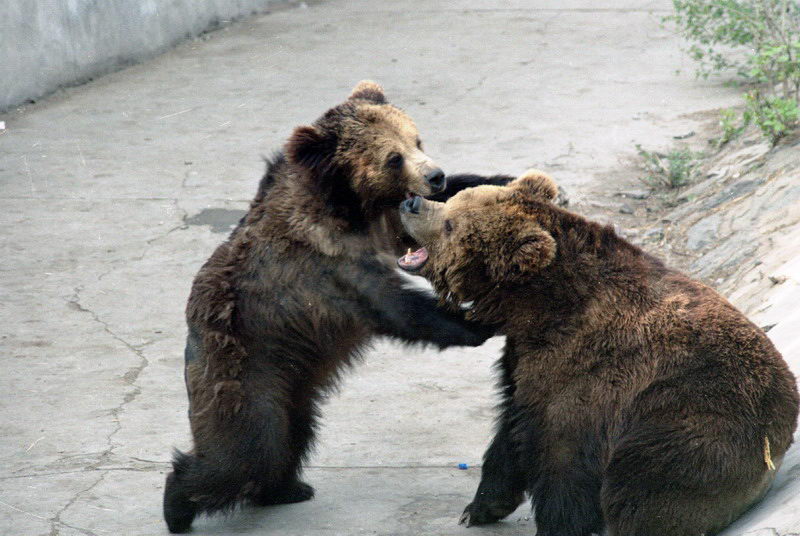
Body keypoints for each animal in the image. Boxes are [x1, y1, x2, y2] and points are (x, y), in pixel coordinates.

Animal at [163, 81, 500, 532]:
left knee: (292, 434)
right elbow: (396, 306)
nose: (434, 175)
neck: (346, 204)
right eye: (393, 157)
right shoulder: (325, 264)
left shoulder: (380, 223)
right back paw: (178, 504)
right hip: (244, 376)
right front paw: (476, 323)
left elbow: (421, 219)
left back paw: (287, 488)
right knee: (245, 453)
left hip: (293, 382)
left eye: (416, 139)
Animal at [396, 171, 796, 536]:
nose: (411, 203)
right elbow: (510, 430)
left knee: (641, 486)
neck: (537, 306)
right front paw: (479, 507)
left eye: (450, 223)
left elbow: (564, 458)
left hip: (691, 425)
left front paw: (556, 525)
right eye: (452, 202)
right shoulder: (526, 362)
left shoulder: (589, 372)